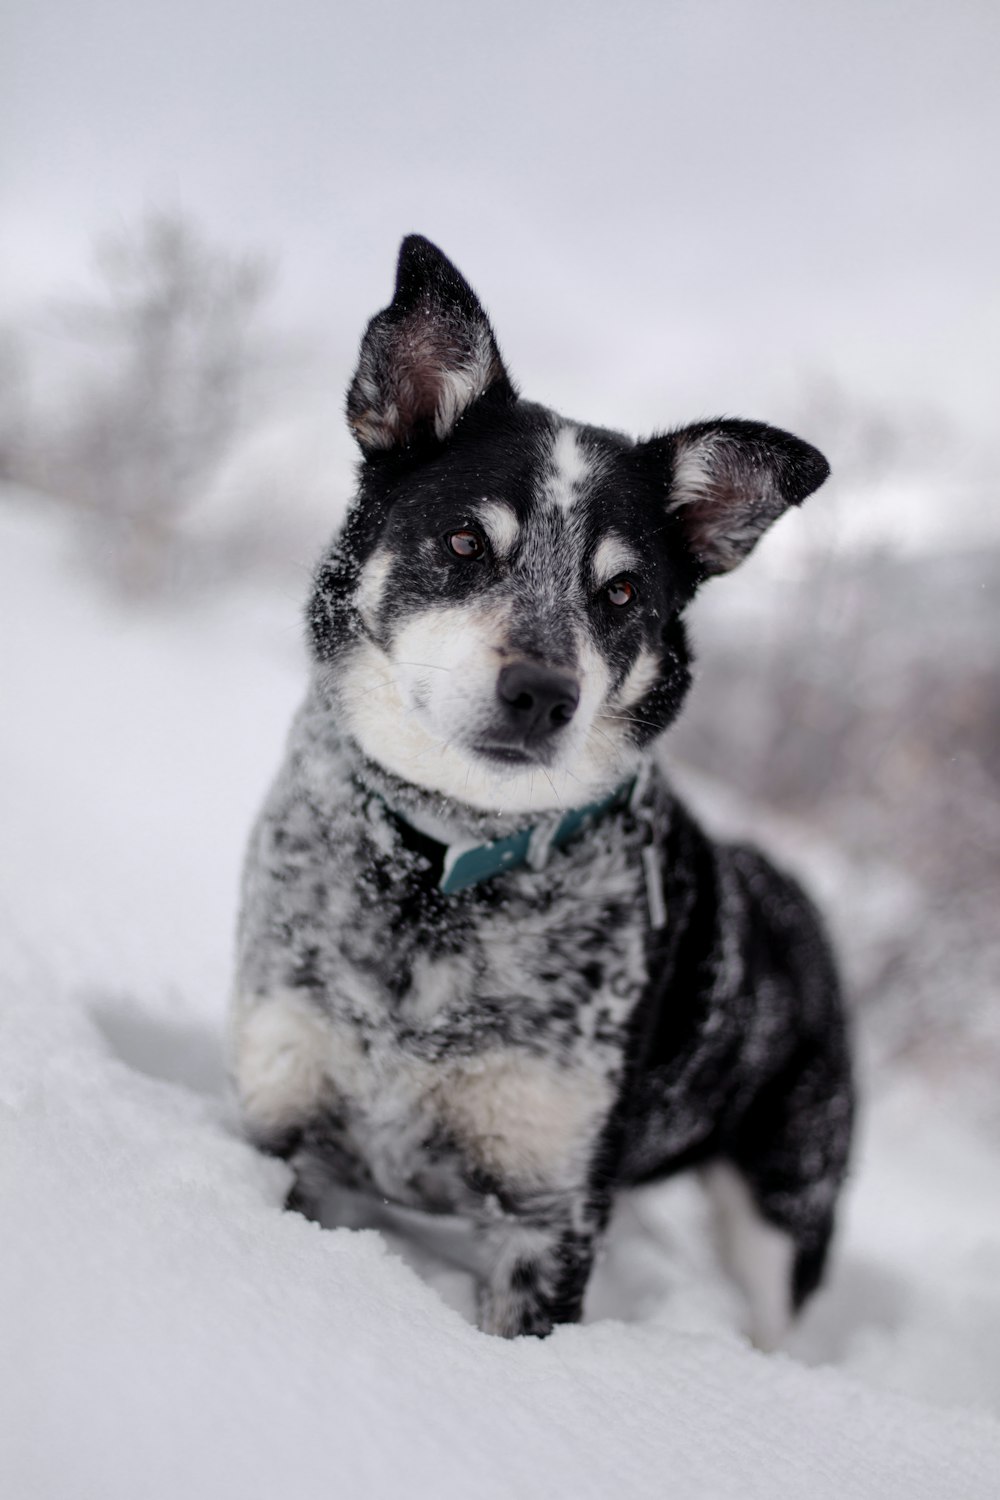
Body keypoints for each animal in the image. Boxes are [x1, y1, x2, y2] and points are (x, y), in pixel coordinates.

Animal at [230, 234, 857, 1350]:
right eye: (465, 542)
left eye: (621, 592)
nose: (541, 693)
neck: (442, 865)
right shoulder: (288, 1118)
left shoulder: (547, 1210)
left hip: (787, 1205)